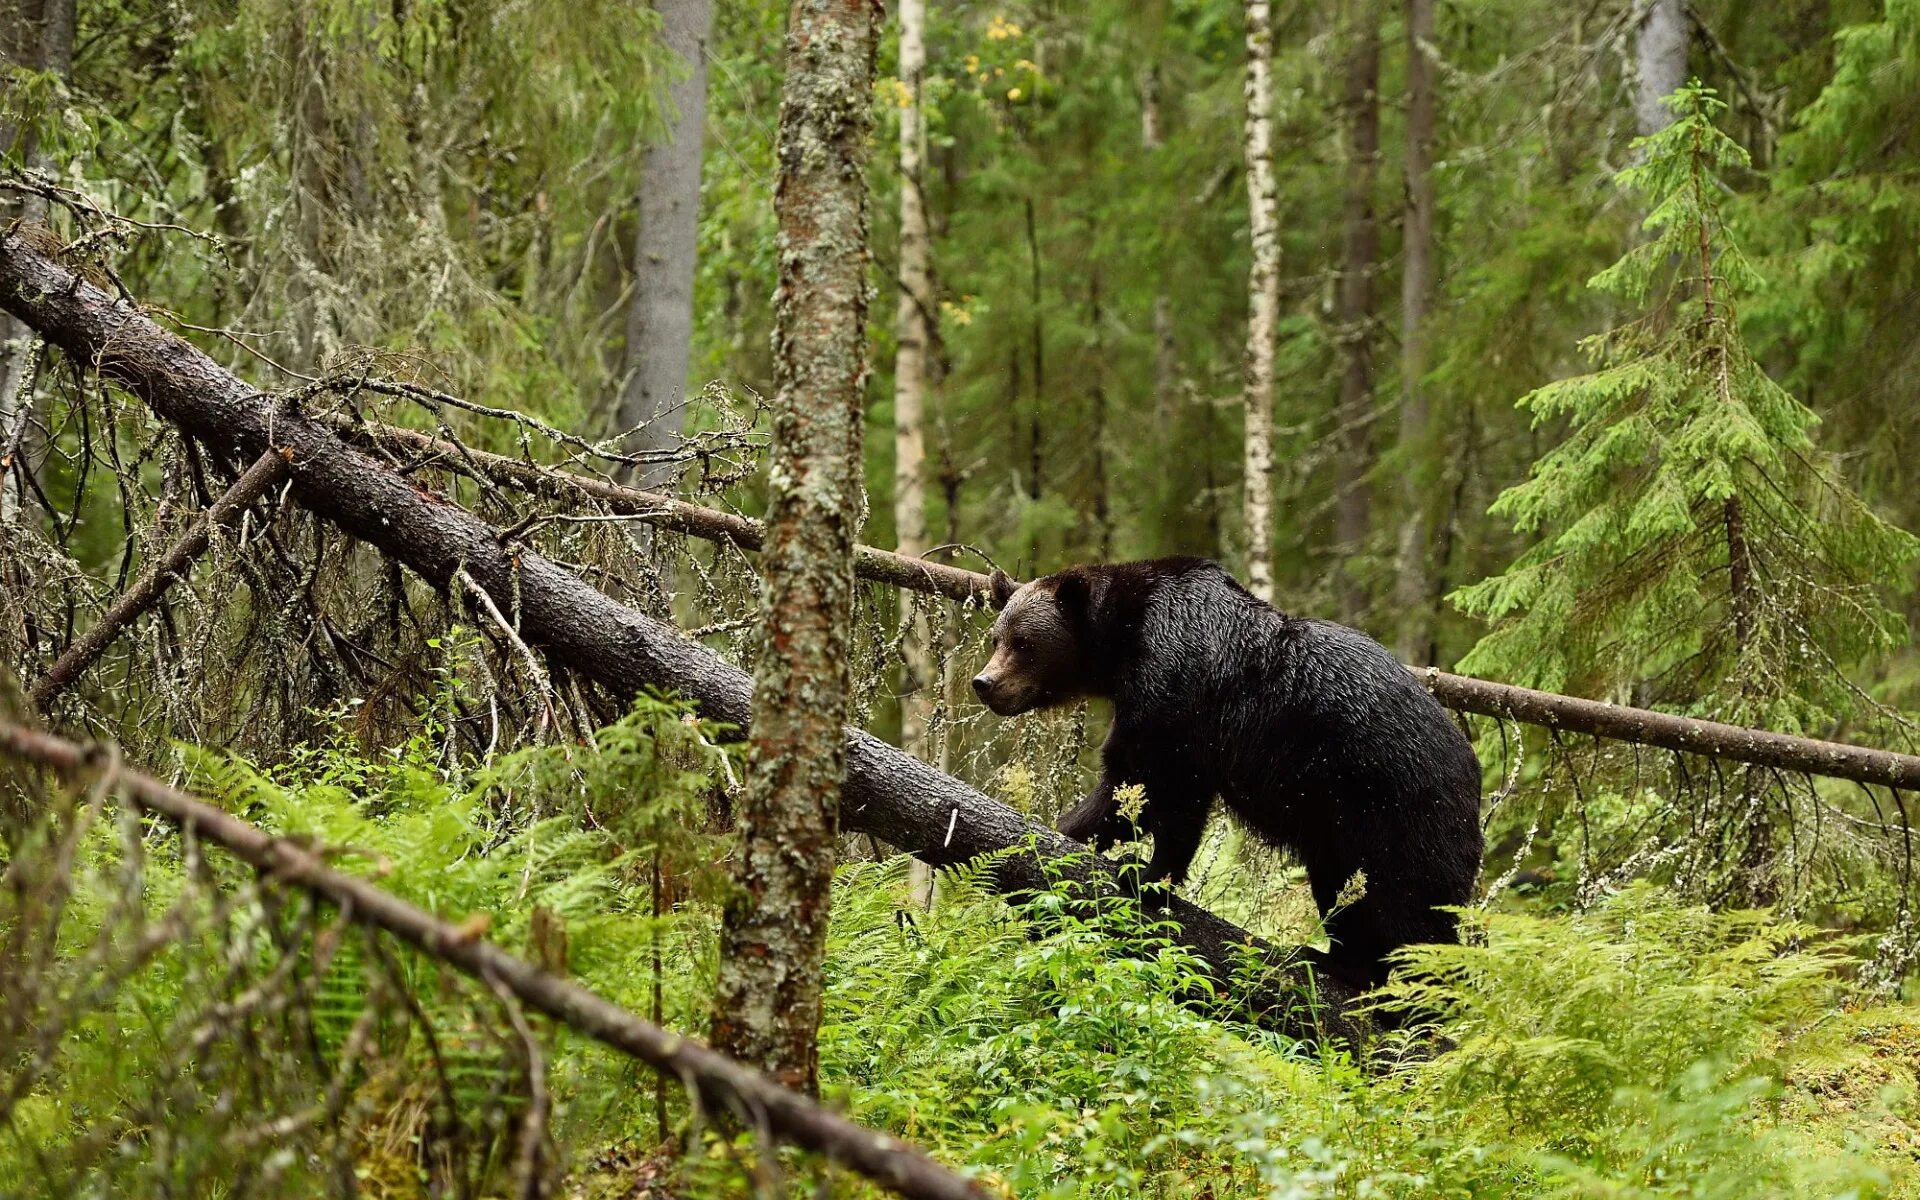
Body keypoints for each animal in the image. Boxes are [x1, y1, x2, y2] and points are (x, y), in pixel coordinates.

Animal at [975, 556, 1482, 990]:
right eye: (996, 637)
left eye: (1024, 643)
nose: (985, 683)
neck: (1122, 643)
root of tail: (1471, 769)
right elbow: (1134, 787)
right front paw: (1064, 832)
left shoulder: (1174, 685)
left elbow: (1161, 788)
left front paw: (1144, 874)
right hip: (1340, 830)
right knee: (1344, 891)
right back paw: (1334, 960)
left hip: (1397, 808)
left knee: (1413, 912)